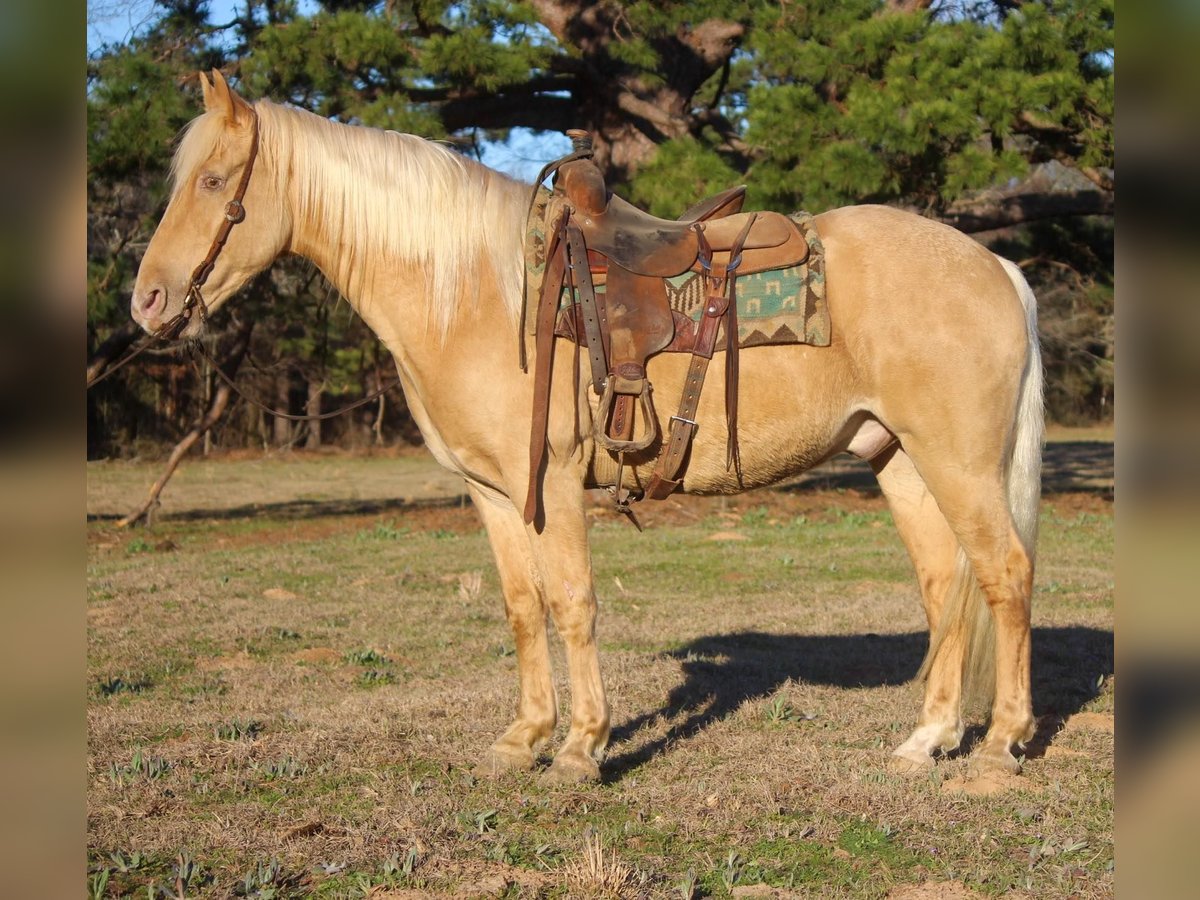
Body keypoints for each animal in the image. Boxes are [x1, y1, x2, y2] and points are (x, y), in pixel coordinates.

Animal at [131, 74, 1046, 787]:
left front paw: (581, 748)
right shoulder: (495, 491)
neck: (476, 290)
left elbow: (572, 603)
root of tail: (994, 265)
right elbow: (522, 607)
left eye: (214, 181)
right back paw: (927, 739)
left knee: (1004, 572)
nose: (146, 300)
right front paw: (522, 739)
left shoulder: (558, 479)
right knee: (946, 584)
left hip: (959, 463)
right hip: (900, 460)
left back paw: (1000, 745)